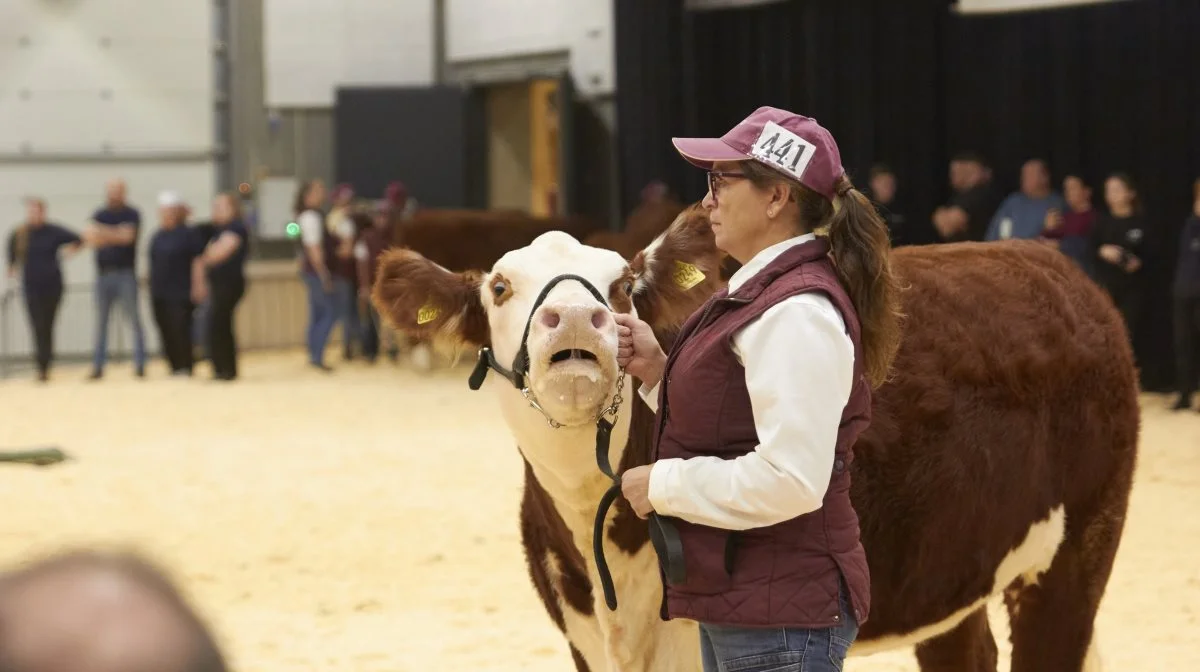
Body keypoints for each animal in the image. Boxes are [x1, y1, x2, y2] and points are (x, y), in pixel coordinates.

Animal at [372, 205, 1132, 672]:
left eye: (621, 284)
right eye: (500, 286)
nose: (577, 318)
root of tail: (1056, 269)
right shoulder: (582, 636)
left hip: (1078, 550)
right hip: (952, 566)